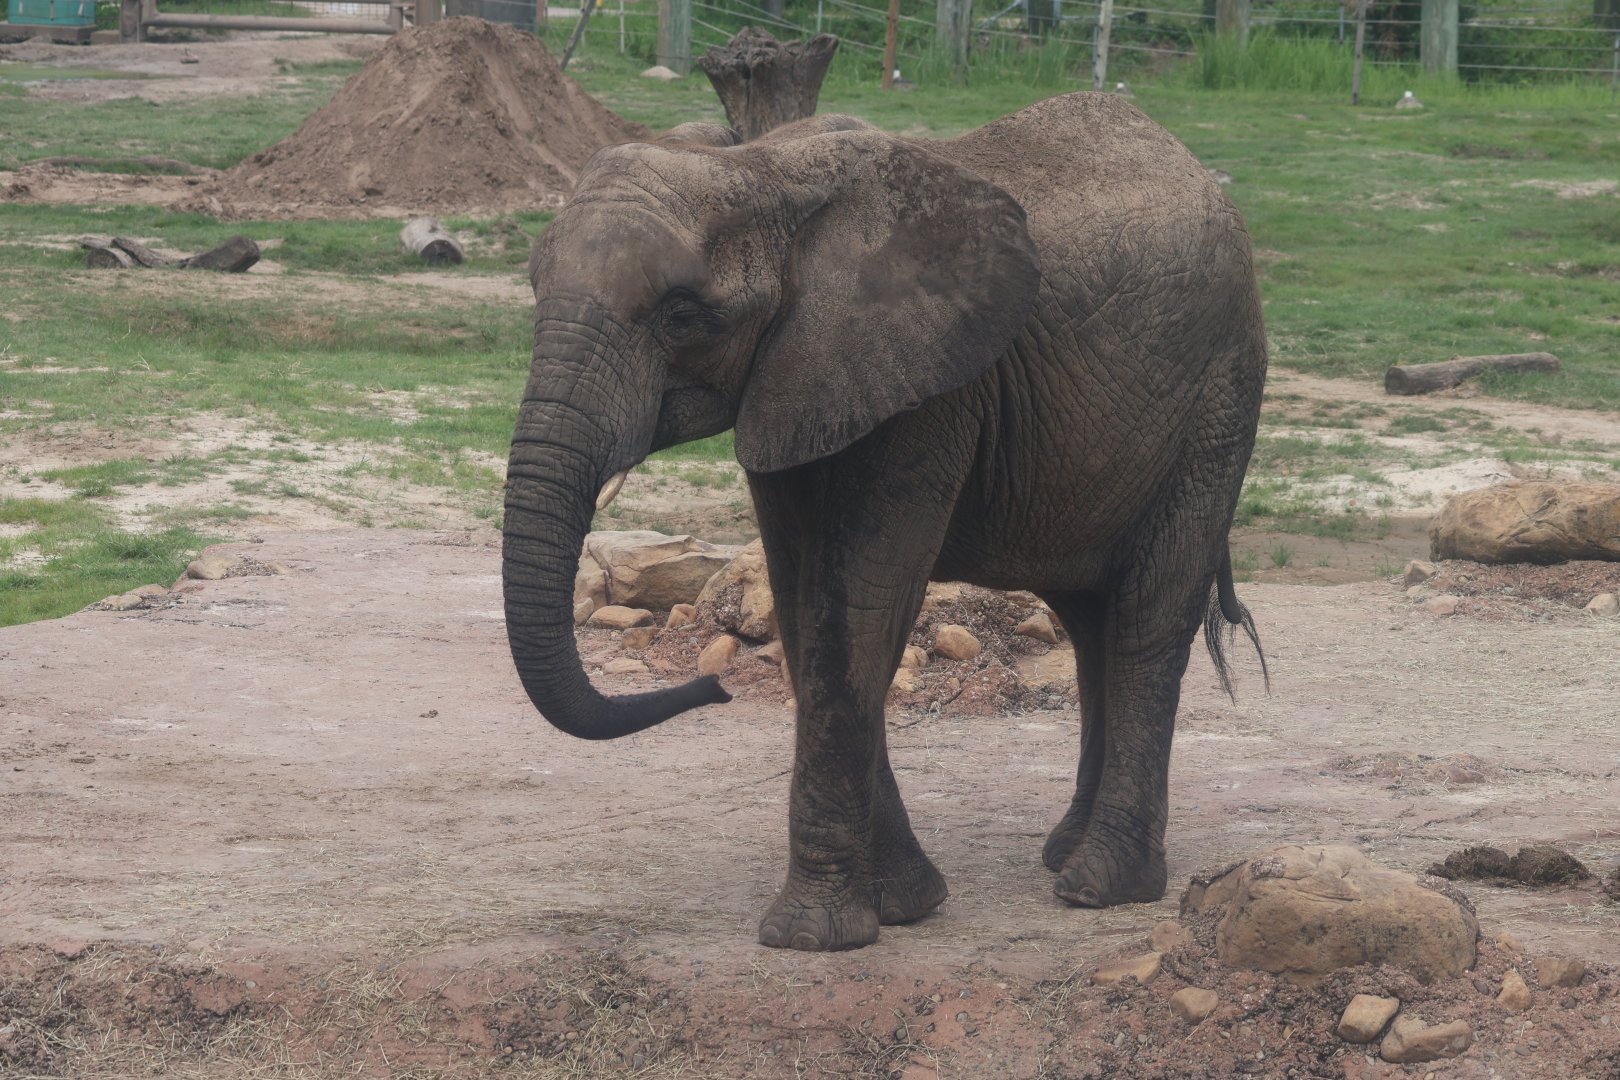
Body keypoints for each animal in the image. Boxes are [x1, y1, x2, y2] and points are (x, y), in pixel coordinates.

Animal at [503, 92, 1268, 952]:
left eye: (683, 316)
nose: (717, 689)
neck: (762, 170)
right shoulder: (795, 377)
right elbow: (802, 601)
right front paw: (905, 904)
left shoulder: (930, 389)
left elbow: (862, 602)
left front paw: (812, 936)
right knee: (1091, 621)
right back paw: (1067, 852)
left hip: (1218, 398)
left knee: (1149, 617)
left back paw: (1098, 886)